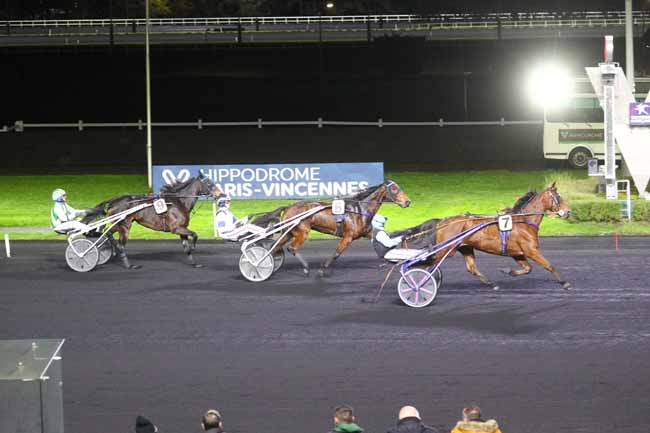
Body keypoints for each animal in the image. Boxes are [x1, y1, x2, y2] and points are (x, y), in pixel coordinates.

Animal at [91, 173, 221, 268]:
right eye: (209, 183)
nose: (220, 194)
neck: (179, 202)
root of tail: (113, 201)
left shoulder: (182, 229)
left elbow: (186, 246)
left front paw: (194, 263)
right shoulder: (176, 228)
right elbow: (195, 234)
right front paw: (193, 247)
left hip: (118, 224)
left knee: (107, 232)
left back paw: (109, 249)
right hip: (124, 226)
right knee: (120, 244)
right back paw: (129, 265)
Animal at [254, 180, 410, 276]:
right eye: (394, 189)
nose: (408, 202)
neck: (359, 210)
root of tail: (288, 207)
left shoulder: (367, 233)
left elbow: (386, 241)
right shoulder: (348, 236)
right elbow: (336, 253)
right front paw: (322, 270)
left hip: (290, 232)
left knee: (275, 247)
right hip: (302, 232)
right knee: (292, 248)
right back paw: (305, 268)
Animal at [394, 182, 568, 290]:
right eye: (558, 197)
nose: (568, 212)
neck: (524, 221)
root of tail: (442, 221)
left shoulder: (517, 253)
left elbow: (527, 268)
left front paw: (507, 271)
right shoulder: (531, 250)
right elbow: (549, 265)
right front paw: (565, 283)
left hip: (465, 248)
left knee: (471, 268)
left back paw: (491, 284)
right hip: (446, 250)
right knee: (426, 264)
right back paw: (415, 281)